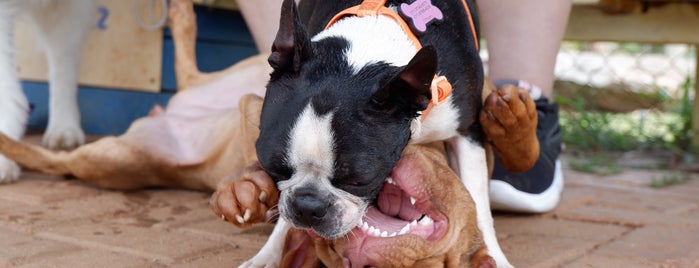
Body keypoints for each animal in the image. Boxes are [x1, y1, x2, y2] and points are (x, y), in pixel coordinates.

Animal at [247, 0, 516, 266]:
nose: (308, 206)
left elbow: (478, 201)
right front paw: (270, 254)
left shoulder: (467, 133)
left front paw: (491, 254)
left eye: (360, 181)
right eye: (272, 168)